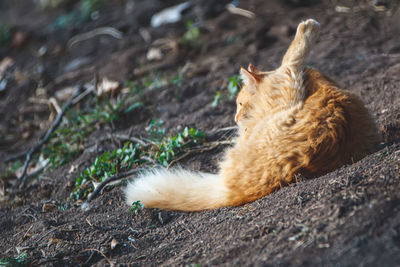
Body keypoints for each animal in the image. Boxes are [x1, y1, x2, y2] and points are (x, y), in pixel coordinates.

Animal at [125, 19, 382, 211]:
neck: (321, 84)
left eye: (240, 104)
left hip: (285, 87)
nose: (235, 120)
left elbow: (290, 59)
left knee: (291, 59)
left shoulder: (284, 82)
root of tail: (229, 192)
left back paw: (307, 28)